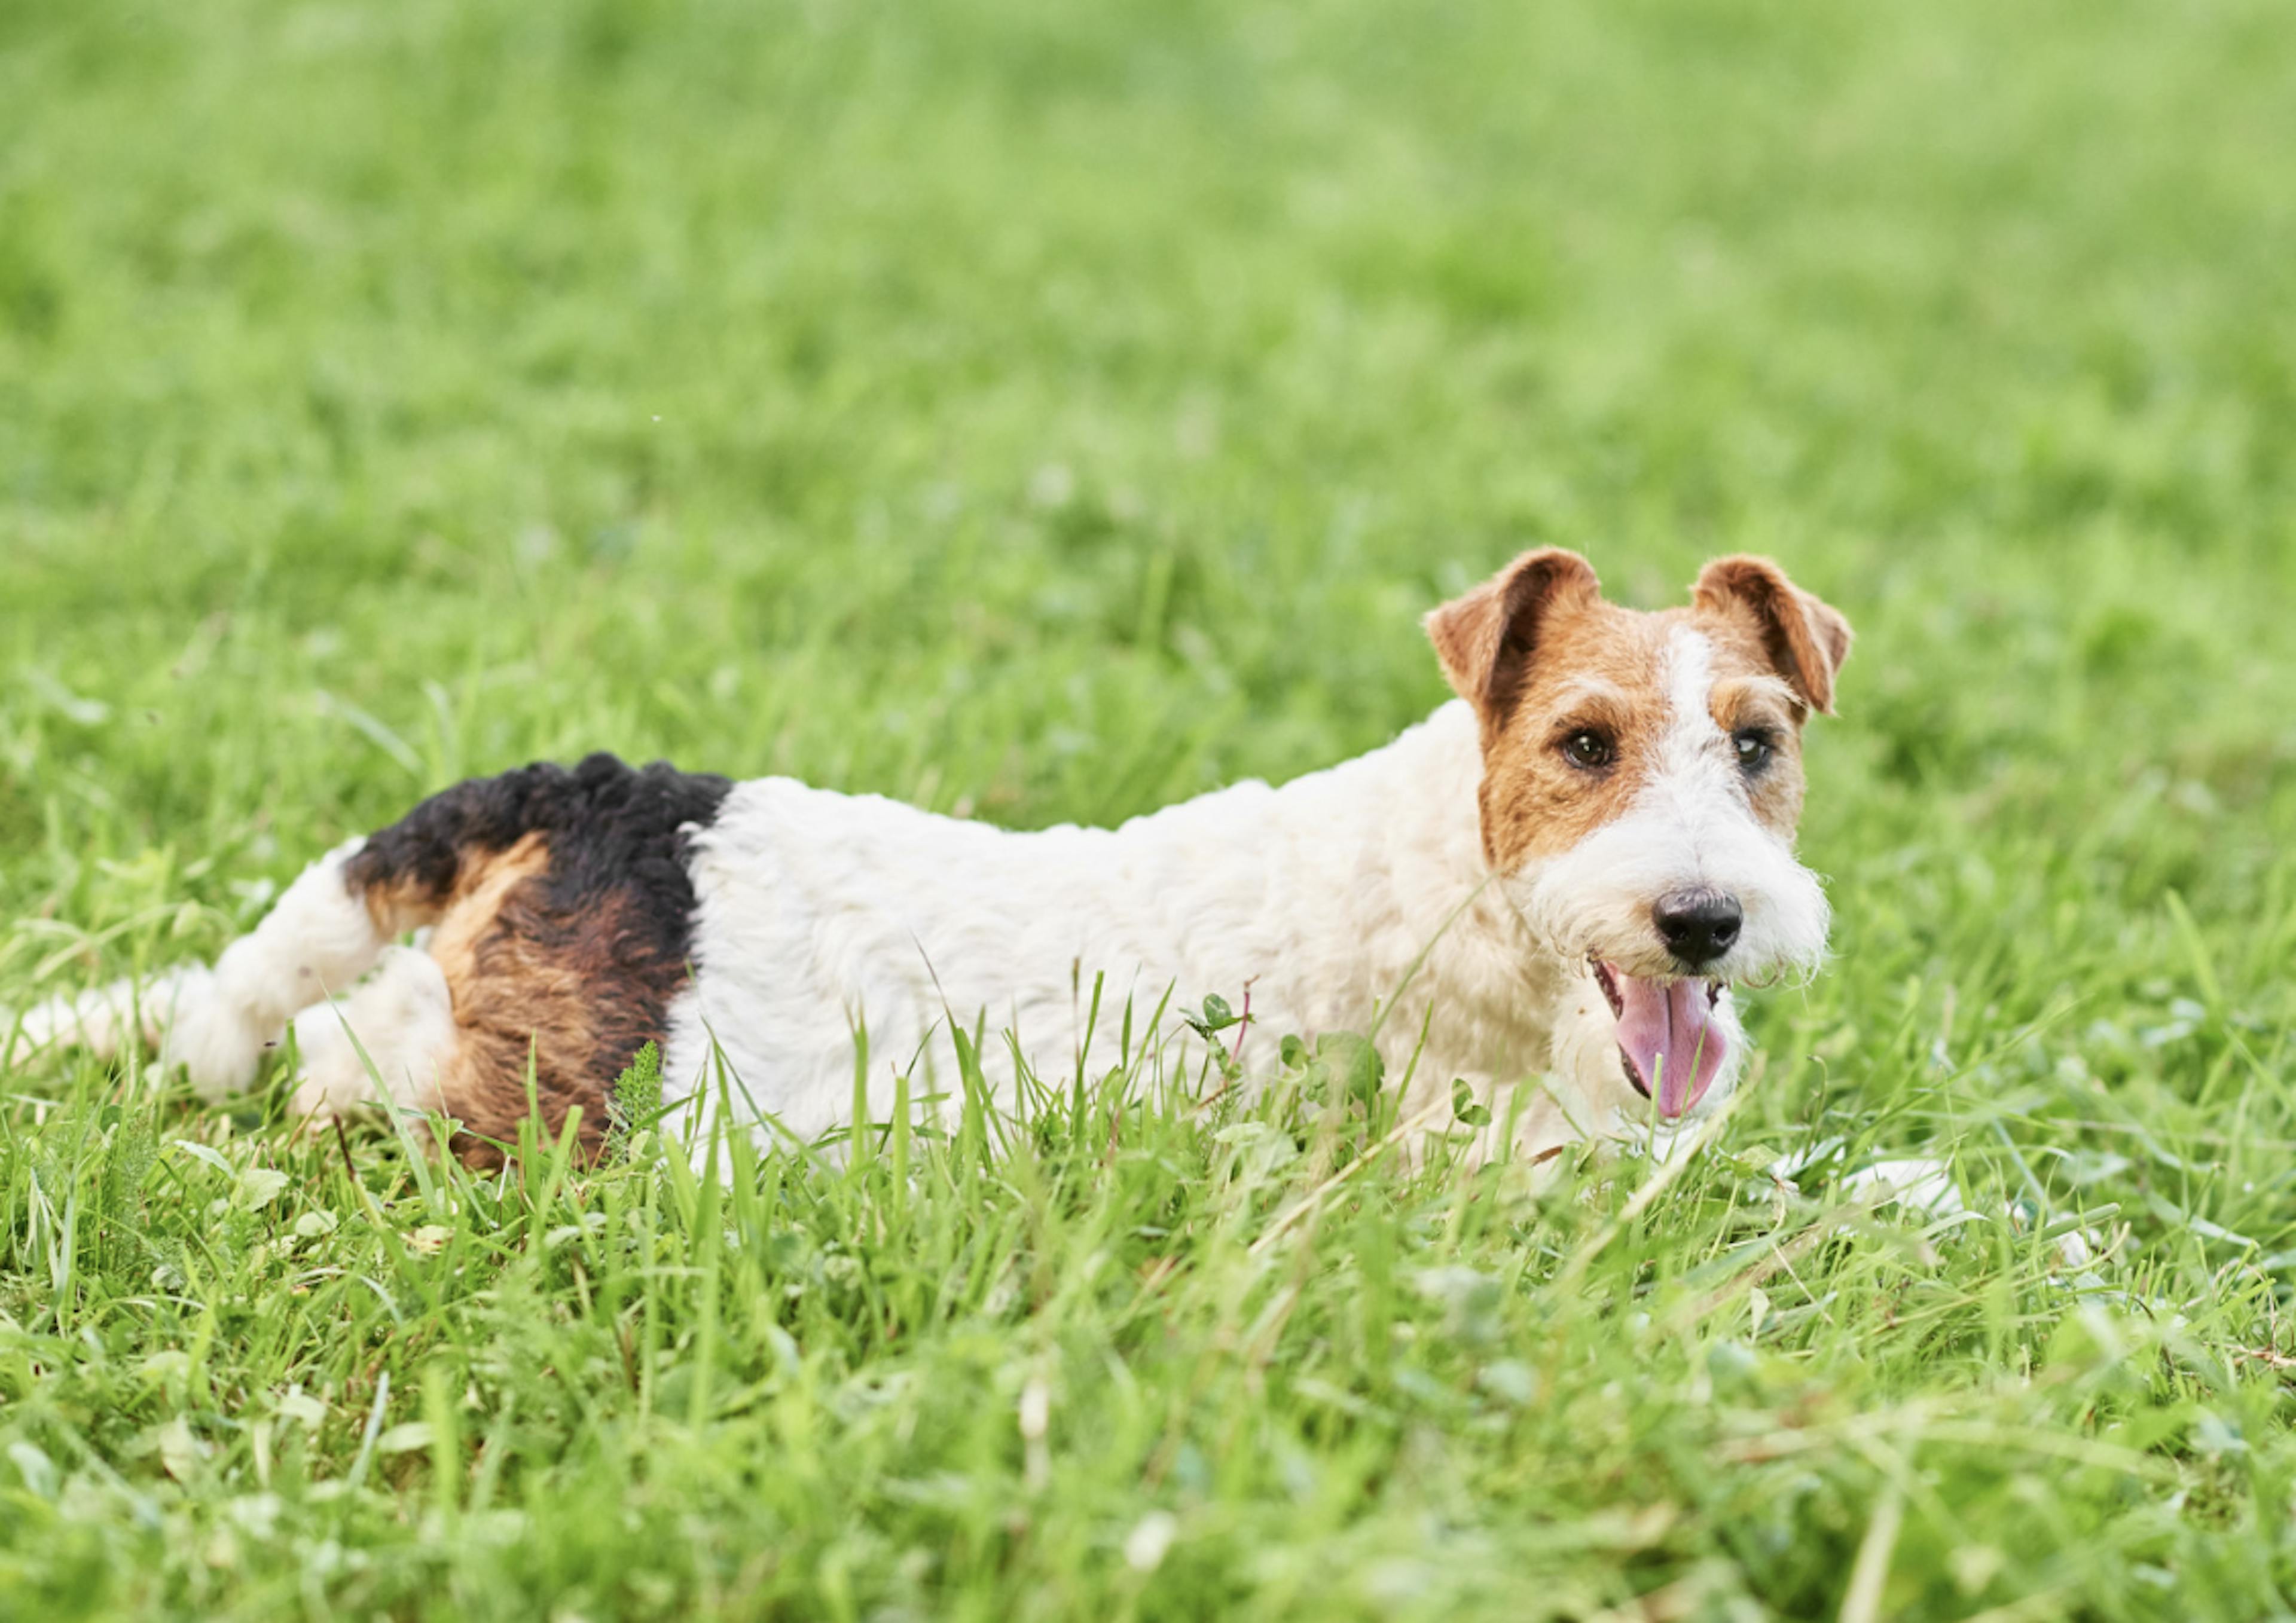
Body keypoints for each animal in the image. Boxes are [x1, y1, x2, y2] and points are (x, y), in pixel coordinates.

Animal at [4, 555, 1846, 1166]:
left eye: (1756, 740)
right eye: (1583, 743)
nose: (1704, 920)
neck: (1432, 889)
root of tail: (601, 791)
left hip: (455, 1021)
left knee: (313, 1026)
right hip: (535, 1101)